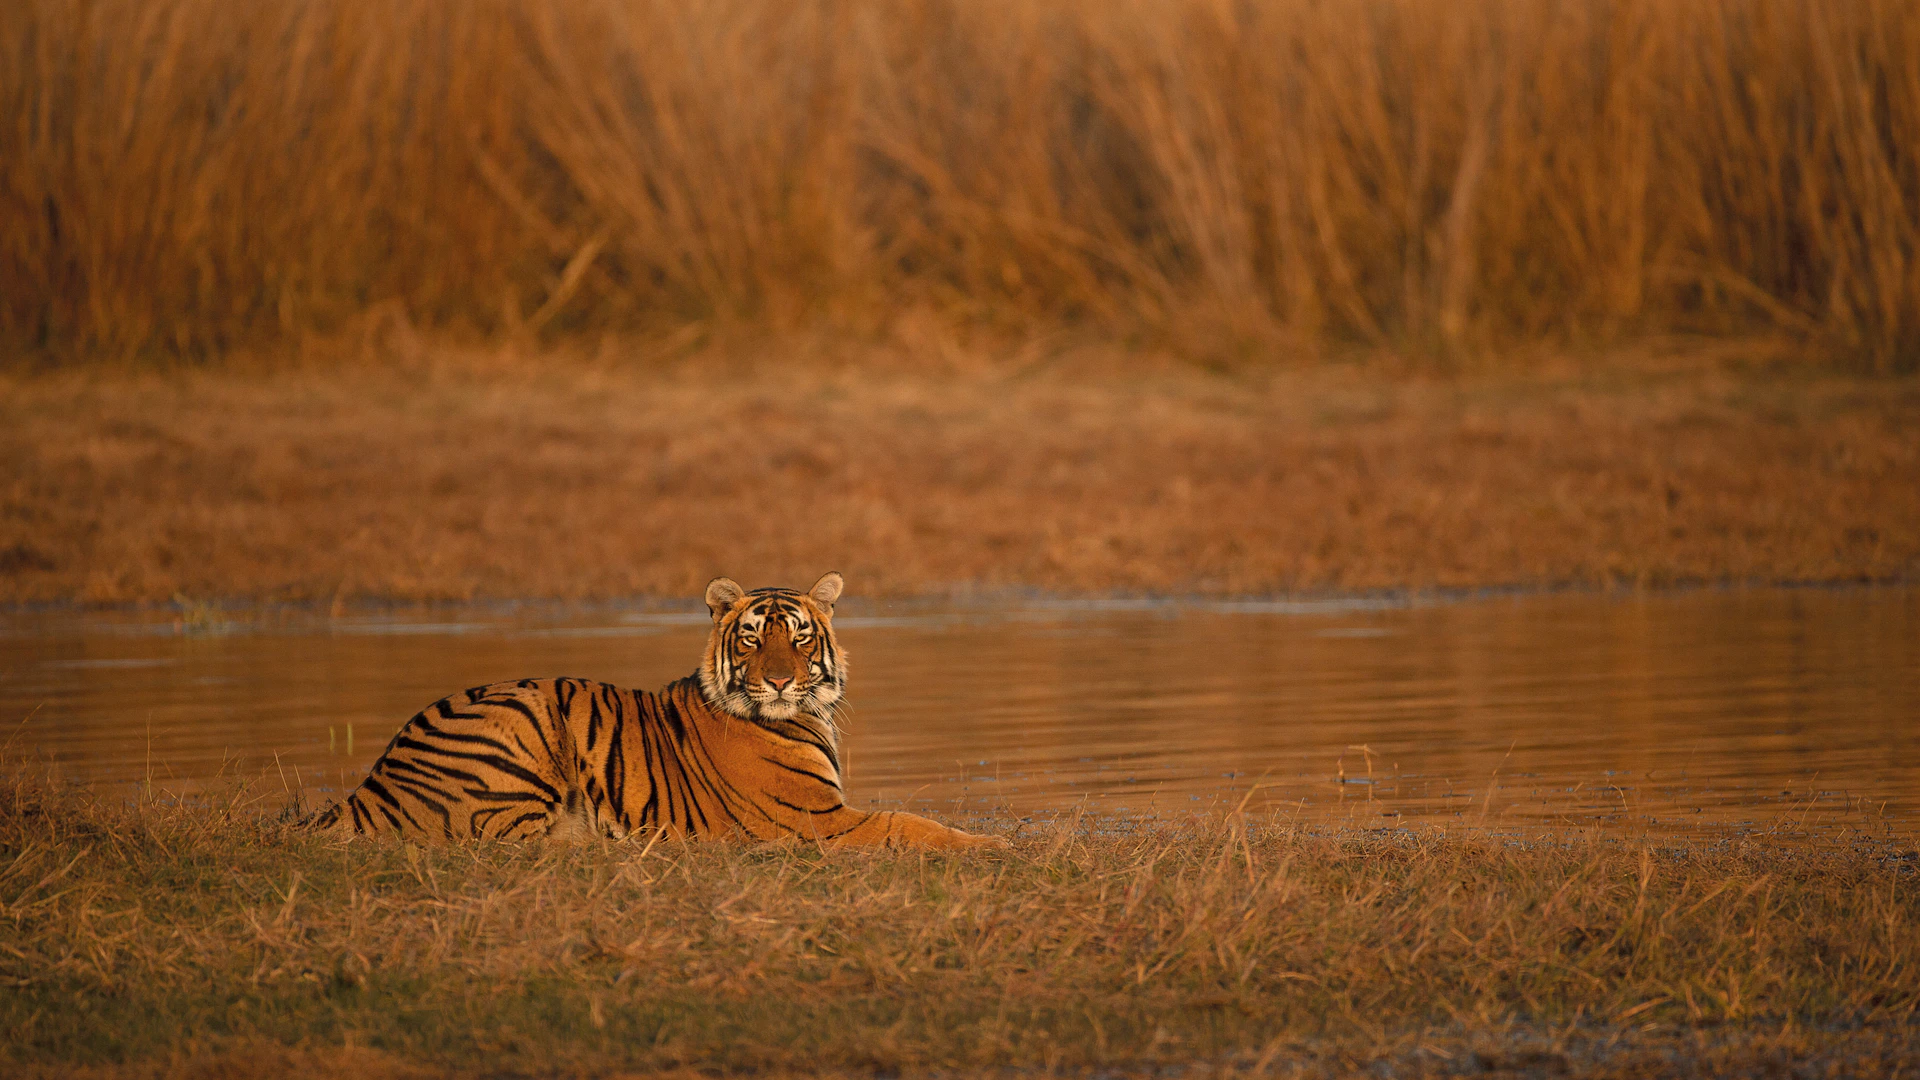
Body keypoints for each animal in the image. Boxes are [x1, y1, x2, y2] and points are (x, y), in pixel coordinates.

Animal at [311, 572, 1007, 851]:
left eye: (801, 637)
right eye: (753, 639)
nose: (780, 680)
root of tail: (371, 782)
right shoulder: (818, 822)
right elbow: (910, 823)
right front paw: (995, 845)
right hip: (523, 718)